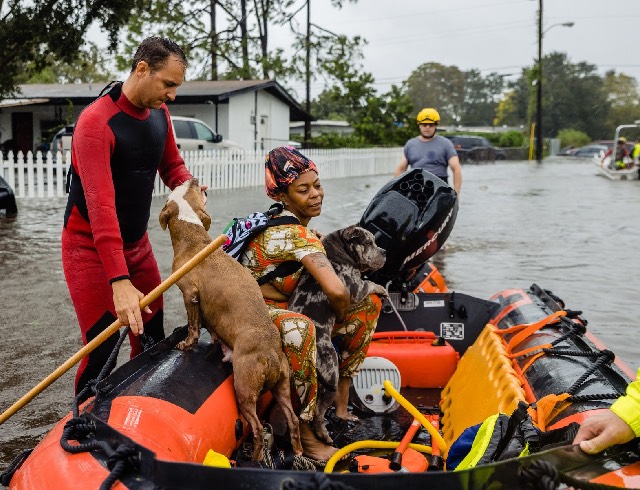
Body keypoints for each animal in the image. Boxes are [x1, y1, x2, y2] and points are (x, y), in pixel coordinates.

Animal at [159, 178, 302, 462]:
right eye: (189, 188)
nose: (194, 179)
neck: (195, 240)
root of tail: (270, 354)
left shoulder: (190, 294)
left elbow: (193, 325)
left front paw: (187, 344)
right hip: (281, 387)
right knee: (293, 420)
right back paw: (299, 450)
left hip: (244, 389)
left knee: (256, 427)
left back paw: (255, 457)